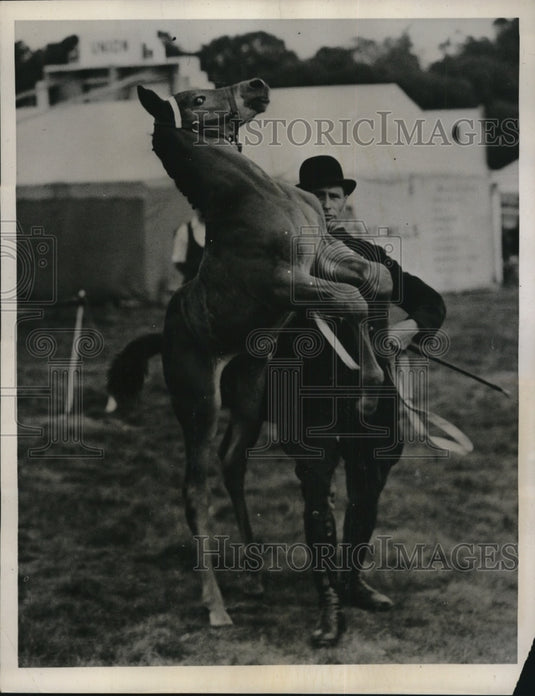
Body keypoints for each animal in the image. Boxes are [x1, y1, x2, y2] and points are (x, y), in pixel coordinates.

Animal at [108, 78, 393, 642]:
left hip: (248, 389)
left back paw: (257, 573)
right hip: (200, 402)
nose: (256, 86)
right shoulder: (289, 283)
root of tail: (166, 337)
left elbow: (363, 284)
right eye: (196, 99)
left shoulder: (322, 256)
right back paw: (216, 607)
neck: (258, 195)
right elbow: (350, 301)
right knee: (195, 488)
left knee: (231, 460)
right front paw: (368, 388)